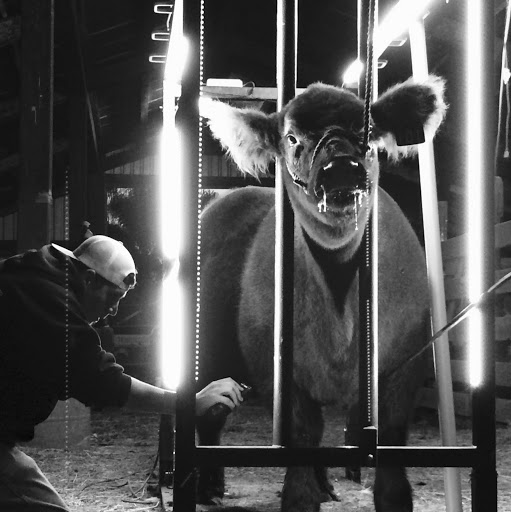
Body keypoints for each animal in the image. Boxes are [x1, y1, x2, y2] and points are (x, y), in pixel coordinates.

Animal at [196, 75, 447, 512]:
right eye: (292, 137)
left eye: (368, 131)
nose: (341, 166)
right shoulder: (278, 372)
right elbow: (300, 443)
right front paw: (302, 493)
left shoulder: (405, 366)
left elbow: (390, 453)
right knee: (206, 414)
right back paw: (204, 484)